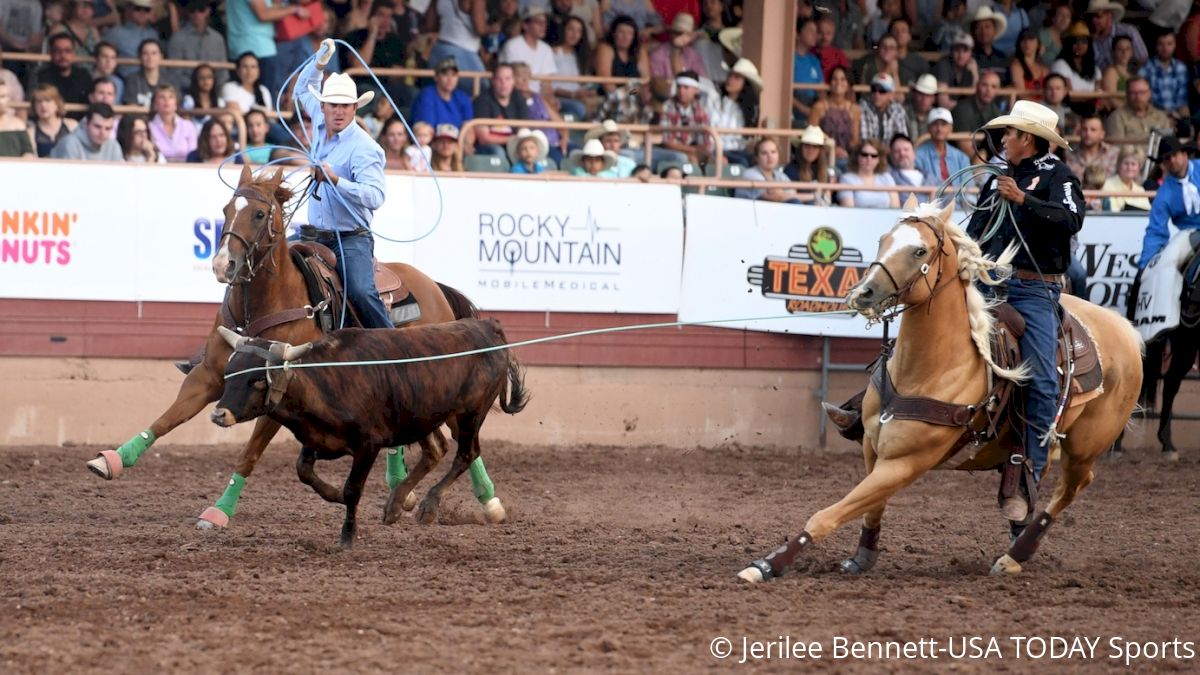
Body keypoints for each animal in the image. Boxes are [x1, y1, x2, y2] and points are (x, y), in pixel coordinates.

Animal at [85, 164, 506, 526]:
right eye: (226, 209)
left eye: (258, 214)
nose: (222, 265)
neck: (268, 302)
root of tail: (436, 288)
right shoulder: (211, 375)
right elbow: (167, 418)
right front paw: (113, 459)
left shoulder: (277, 389)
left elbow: (249, 454)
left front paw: (219, 510)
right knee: (436, 443)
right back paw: (405, 493)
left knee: (461, 442)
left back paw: (488, 501)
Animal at [739, 196, 1142, 581]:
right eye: (883, 240)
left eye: (919, 251)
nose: (864, 292)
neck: (931, 367)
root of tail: (1123, 328)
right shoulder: (873, 448)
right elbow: (871, 506)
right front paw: (863, 556)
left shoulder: (906, 462)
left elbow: (827, 515)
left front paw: (767, 564)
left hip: (1085, 445)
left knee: (1073, 485)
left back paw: (1015, 555)